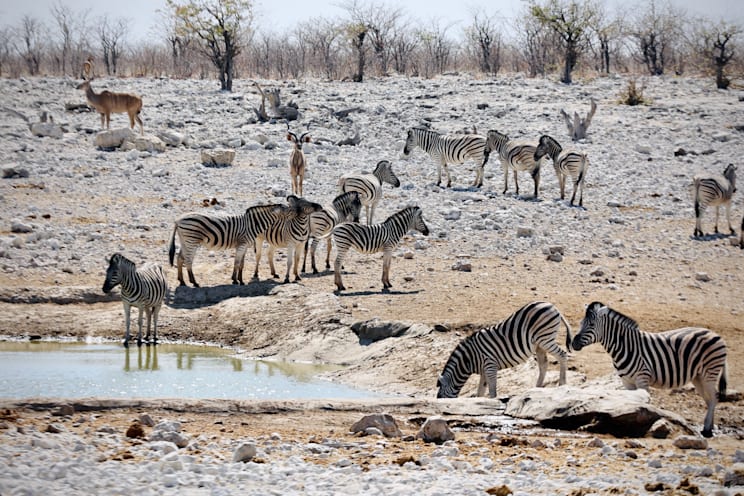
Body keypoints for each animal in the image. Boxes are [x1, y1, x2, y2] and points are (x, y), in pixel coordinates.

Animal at [436, 301, 572, 399]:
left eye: (440, 398)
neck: (469, 358)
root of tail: (552, 306)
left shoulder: (490, 365)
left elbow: (492, 391)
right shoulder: (484, 370)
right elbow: (481, 392)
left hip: (545, 339)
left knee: (562, 355)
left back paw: (562, 383)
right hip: (539, 344)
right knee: (543, 364)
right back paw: (536, 388)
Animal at [571, 301, 728, 438]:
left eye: (591, 325)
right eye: (580, 323)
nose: (573, 343)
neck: (625, 346)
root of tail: (714, 333)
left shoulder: (642, 379)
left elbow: (644, 404)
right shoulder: (626, 382)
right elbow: (631, 404)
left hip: (710, 372)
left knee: (714, 398)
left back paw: (707, 430)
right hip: (698, 377)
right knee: (709, 400)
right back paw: (709, 427)